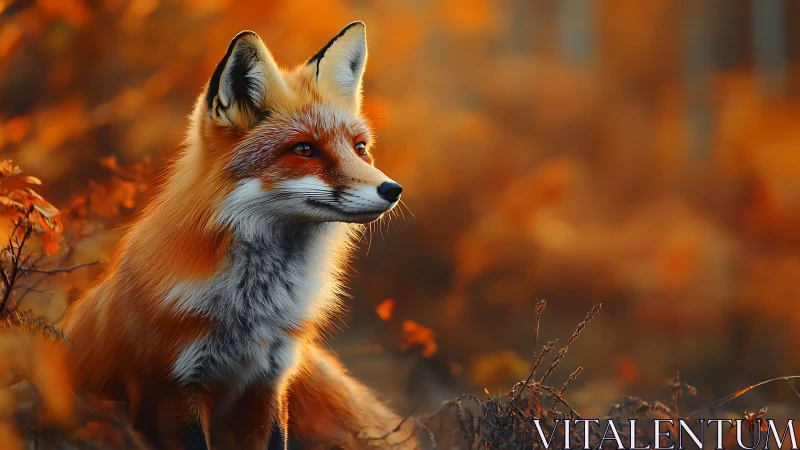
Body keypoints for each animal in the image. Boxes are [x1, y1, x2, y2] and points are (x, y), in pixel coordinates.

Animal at [62, 22, 418, 450]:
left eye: (360, 148)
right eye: (305, 150)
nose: (393, 189)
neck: (252, 310)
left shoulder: (270, 382)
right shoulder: (176, 389)